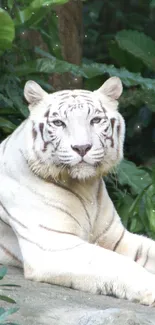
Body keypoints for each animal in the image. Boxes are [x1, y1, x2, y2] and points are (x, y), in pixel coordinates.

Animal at [0, 77, 155, 306]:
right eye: (59, 123)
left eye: (96, 120)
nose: (82, 148)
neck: (86, 187)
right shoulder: (55, 245)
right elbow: (115, 263)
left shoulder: (116, 237)